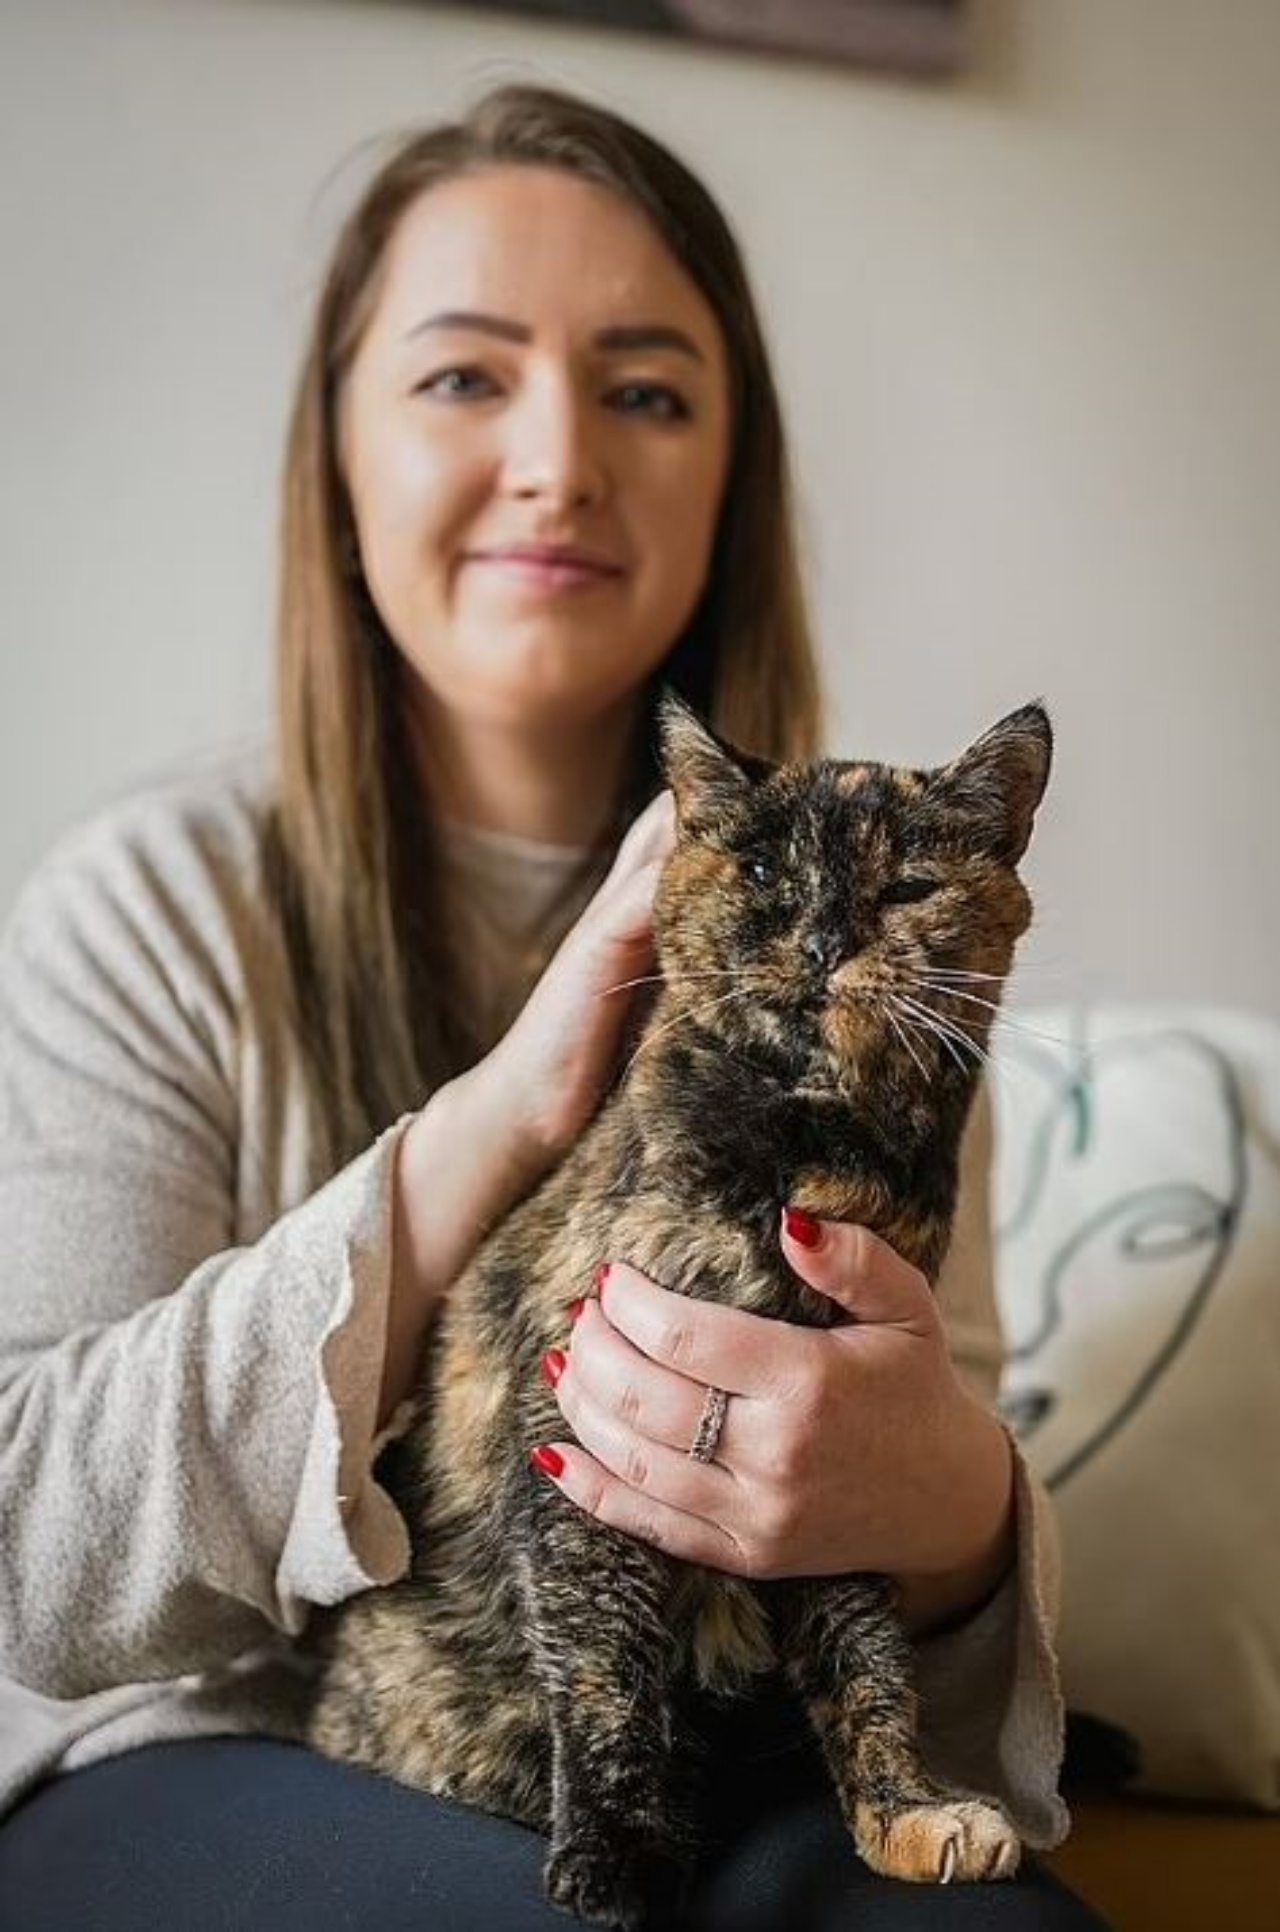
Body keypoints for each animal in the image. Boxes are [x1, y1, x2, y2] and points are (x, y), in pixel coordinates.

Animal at [305, 687, 1057, 1924]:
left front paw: (905, 1812)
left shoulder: (833, 1482)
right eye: (759, 871)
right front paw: (617, 1855)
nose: (822, 941)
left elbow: (866, 1659)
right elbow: (604, 1666)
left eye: (907, 888)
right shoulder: (572, 1433)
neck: (813, 1162)